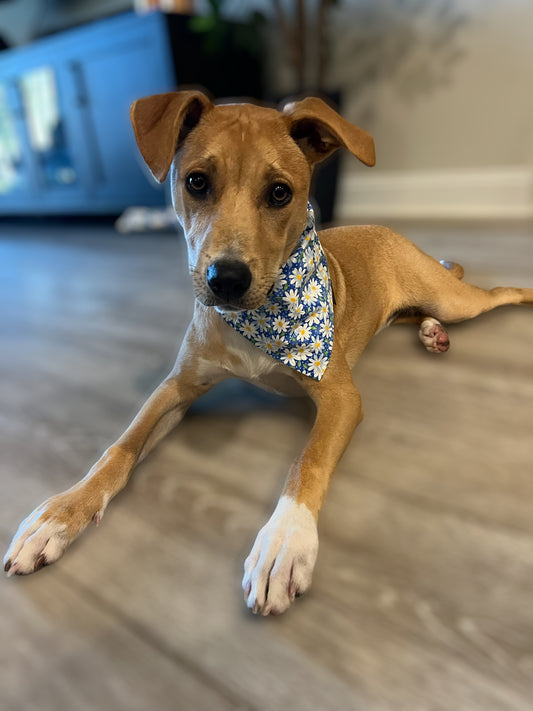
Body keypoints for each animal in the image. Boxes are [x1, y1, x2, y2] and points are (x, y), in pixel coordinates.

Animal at [5, 92, 532, 616]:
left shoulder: (341, 397)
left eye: (280, 193)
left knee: (495, 291)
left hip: (454, 298)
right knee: (412, 313)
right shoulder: (178, 386)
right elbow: (121, 446)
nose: (226, 280)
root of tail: (391, 232)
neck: (260, 319)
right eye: (196, 181)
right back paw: (429, 332)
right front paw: (59, 514)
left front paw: (285, 542)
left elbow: (307, 461)